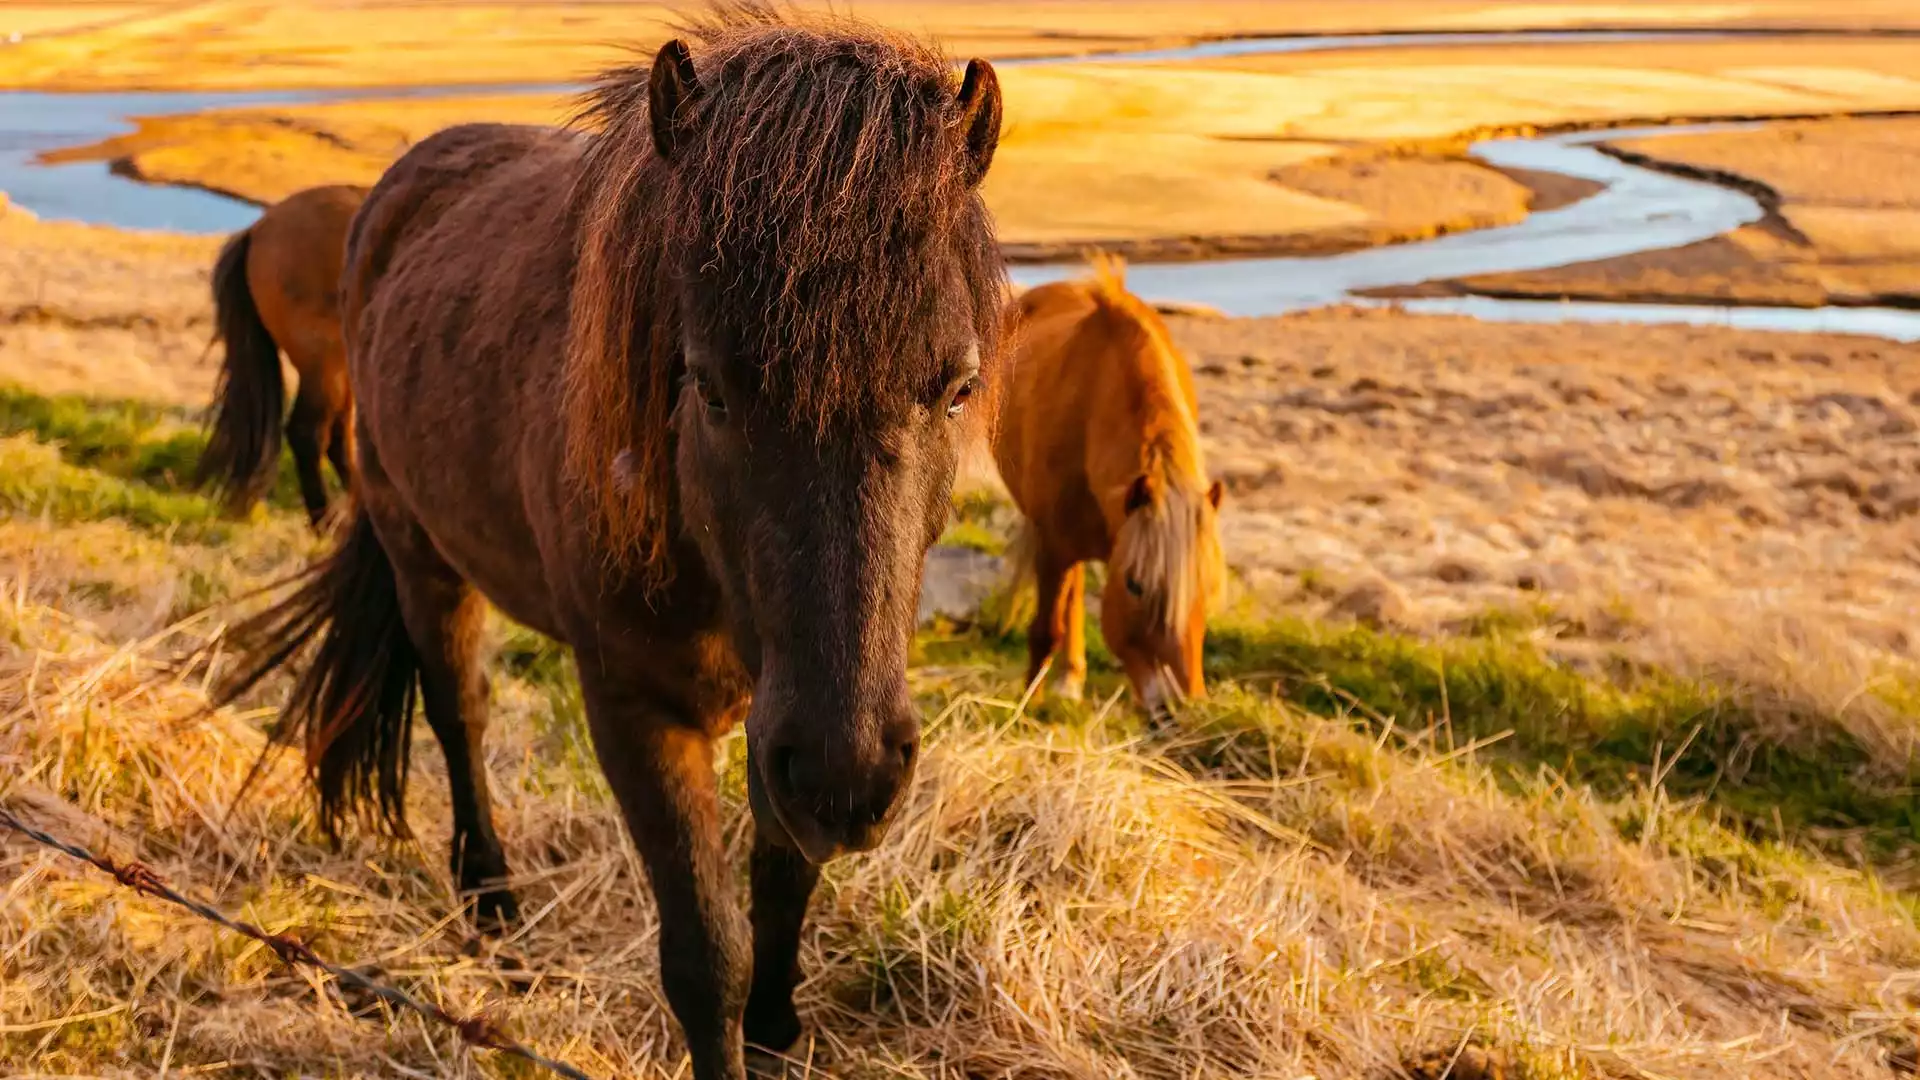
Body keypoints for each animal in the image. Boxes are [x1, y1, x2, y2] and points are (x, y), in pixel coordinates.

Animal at [214, 10, 1006, 1076]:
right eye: (709, 387)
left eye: (958, 386)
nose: (853, 780)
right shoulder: (640, 711)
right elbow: (706, 958)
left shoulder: (787, 722)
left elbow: (782, 894)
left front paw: (778, 1028)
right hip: (421, 553)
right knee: (458, 712)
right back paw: (491, 898)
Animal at [998, 257, 1221, 718]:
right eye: (1135, 585)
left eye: (1207, 588)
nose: (1180, 710)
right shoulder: (1053, 546)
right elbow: (1046, 629)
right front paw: (1027, 707)